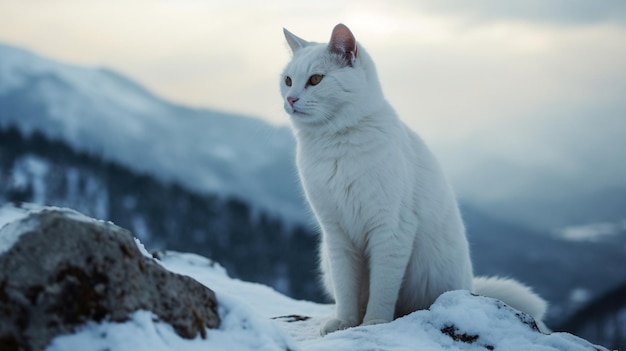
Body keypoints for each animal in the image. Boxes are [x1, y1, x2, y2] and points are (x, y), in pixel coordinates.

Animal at [280, 23, 544, 336]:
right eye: (287, 80)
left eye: (316, 79)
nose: (290, 99)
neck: (334, 144)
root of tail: (469, 285)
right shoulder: (336, 235)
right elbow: (346, 290)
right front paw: (345, 322)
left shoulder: (391, 229)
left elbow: (382, 288)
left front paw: (374, 322)